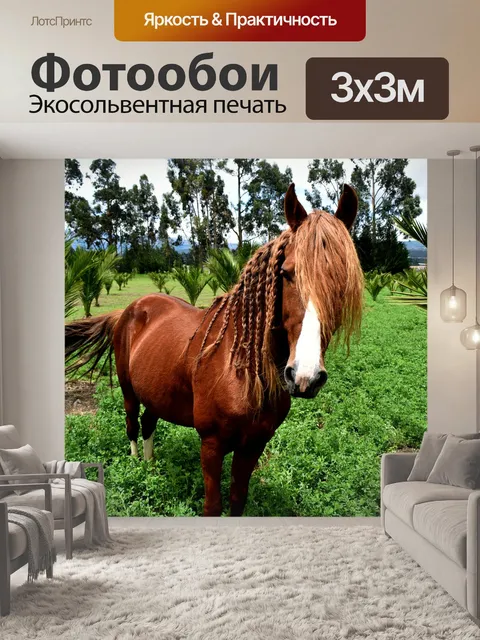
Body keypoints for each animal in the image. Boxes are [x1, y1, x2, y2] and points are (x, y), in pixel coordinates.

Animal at [65, 183, 364, 516]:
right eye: (287, 273)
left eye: (342, 282)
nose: (304, 377)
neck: (244, 371)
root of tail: (128, 311)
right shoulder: (211, 444)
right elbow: (212, 506)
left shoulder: (253, 445)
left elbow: (237, 500)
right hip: (128, 389)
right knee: (131, 424)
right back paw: (136, 467)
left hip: (155, 392)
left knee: (147, 423)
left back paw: (151, 466)